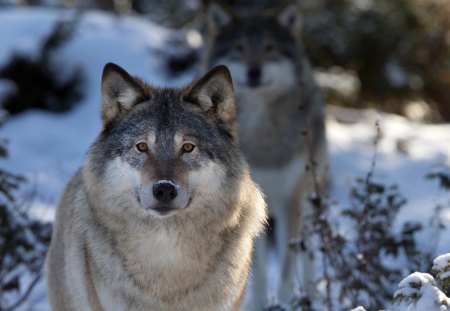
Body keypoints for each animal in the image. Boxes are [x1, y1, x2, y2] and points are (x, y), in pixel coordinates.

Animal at [203, 1, 326, 310]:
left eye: (270, 48)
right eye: (239, 47)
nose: (254, 72)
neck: (262, 135)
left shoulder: (291, 200)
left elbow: (286, 264)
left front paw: (283, 301)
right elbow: (255, 267)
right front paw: (258, 304)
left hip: (310, 199)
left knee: (307, 253)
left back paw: (311, 294)